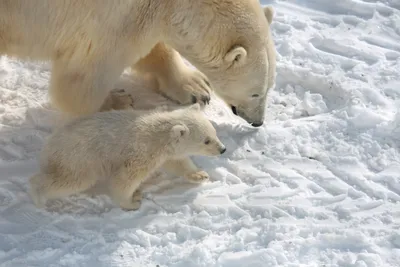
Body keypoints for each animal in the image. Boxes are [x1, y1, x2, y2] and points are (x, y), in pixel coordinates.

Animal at [0, 0, 276, 127]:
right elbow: (83, 76)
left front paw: (197, 87)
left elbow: (154, 50)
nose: (258, 121)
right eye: (255, 92)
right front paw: (117, 100)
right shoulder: (112, 18)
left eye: (270, 87)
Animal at [29, 103, 227, 210]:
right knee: (72, 180)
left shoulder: (165, 152)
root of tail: (49, 146)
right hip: (80, 159)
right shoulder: (141, 152)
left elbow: (178, 162)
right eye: (206, 141)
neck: (158, 133)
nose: (223, 149)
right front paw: (132, 202)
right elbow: (126, 178)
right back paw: (38, 195)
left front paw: (200, 175)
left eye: (214, 132)